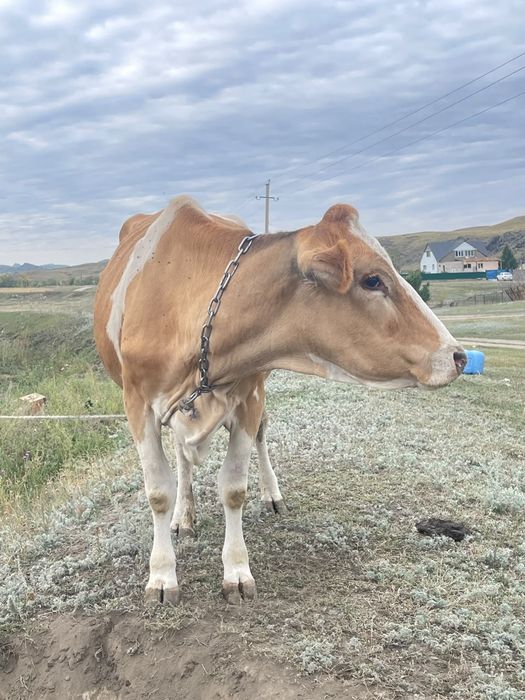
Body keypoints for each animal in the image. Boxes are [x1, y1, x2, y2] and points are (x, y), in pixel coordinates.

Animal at [94, 195, 466, 606]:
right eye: (372, 279)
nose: (457, 356)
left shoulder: (249, 395)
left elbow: (234, 488)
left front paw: (236, 570)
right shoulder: (137, 403)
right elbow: (159, 492)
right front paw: (162, 574)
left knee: (258, 436)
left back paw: (270, 494)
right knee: (181, 456)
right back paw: (183, 516)